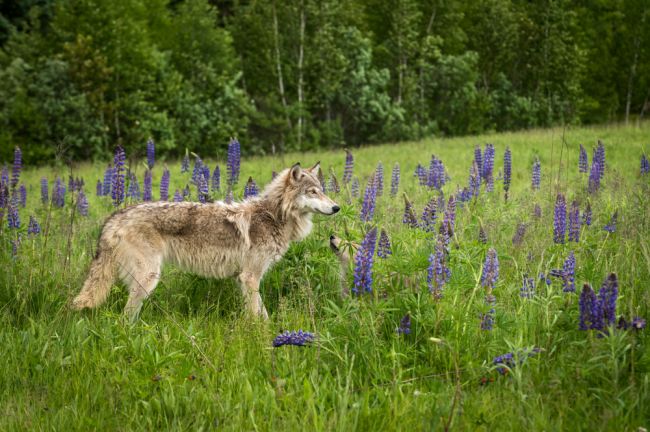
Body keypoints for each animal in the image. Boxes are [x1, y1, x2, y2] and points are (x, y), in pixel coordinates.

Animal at [72, 162, 340, 320]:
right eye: (312, 192)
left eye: (322, 190)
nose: (337, 207)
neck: (273, 216)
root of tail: (116, 216)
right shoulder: (250, 277)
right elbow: (259, 315)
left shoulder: (243, 279)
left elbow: (258, 312)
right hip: (148, 279)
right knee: (125, 318)